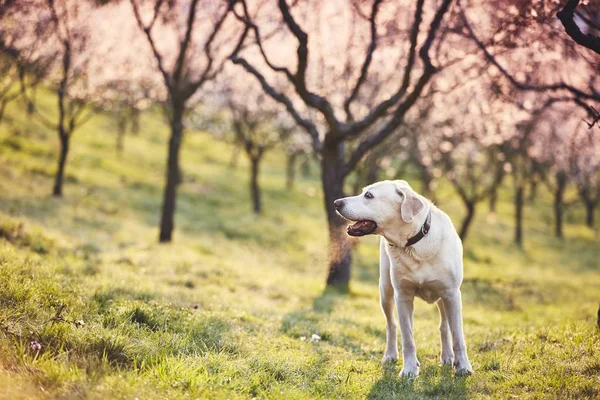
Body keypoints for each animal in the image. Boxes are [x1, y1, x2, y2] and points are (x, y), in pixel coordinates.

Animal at [336, 180, 472, 376]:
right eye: (363, 192)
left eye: (368, 195)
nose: (336, 203)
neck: (415, 243)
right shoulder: (403, 296)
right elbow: (407, 337)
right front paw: (409, 369)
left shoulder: (452, 294)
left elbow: (458, 336)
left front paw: (463, 367)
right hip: (385, 290)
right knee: (392, 325)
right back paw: (391, 355)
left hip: (443, 298)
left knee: (444, 326)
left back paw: (447, 357)